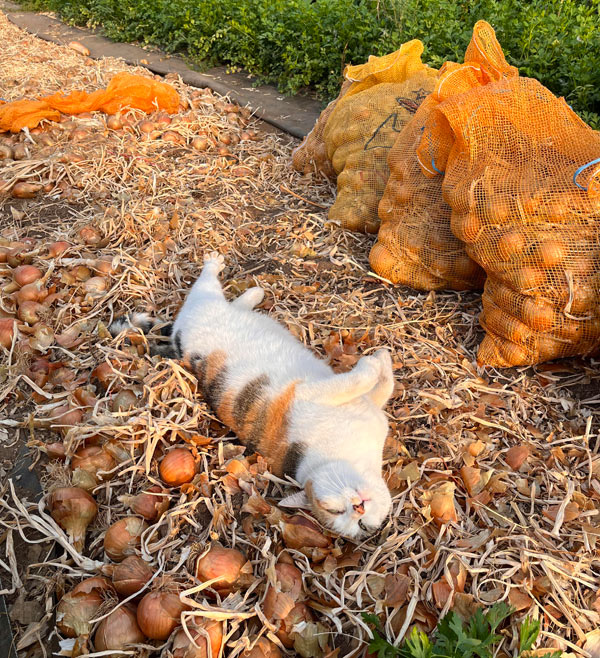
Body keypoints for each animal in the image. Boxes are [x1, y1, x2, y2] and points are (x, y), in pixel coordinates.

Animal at [110, 254, 396, 536]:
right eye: (336, 512)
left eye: (362, 524)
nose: (359, 507)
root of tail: (176, 345)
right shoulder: (307, 393)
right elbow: (360, 379)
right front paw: (372, 363)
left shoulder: (370, 407)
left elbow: (385, 386)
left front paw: (383, 359)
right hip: (203, 304)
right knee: (204, 286)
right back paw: (215, 263)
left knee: (231, 303)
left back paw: (253, 294)